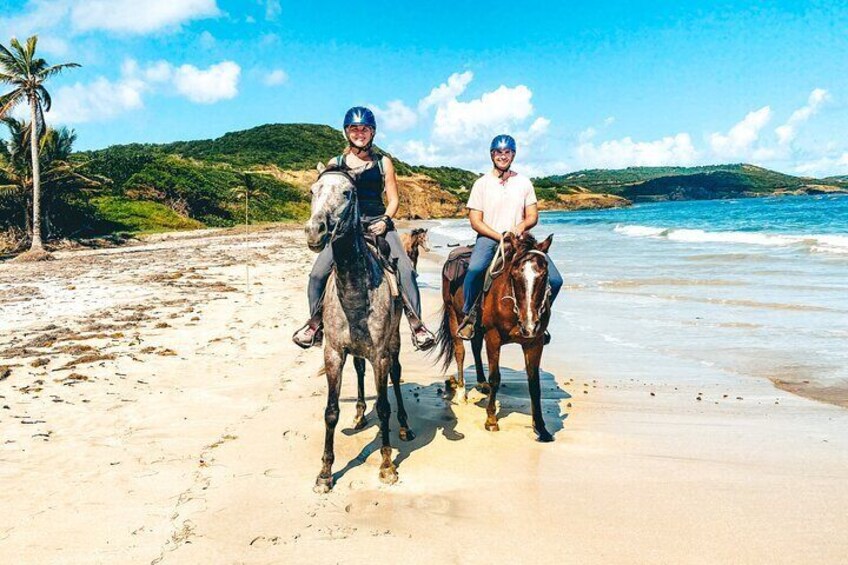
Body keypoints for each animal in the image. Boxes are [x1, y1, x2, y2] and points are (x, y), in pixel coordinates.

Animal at [304, 162, 414, 490]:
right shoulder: (333, 353)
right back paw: (360, 414)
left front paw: (387, 466)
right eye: (312, 191)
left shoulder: (380, 353)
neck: (354, 287)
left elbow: (385, 406)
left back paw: (405, 426)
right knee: (360, 369)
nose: (315, 231)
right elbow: (330, 411)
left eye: (347, 193)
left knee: (396, 376)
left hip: (394, 342)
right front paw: (325, 473)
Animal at [438, 232, 556, 440]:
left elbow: (534, 383)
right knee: (460, 352)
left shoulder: (535, 341)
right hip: (453, 314)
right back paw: (461, 393)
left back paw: (481, 382)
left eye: (543, 275)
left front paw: (541, 428)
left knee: (476, 346)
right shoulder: (493, 337)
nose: (529, 325)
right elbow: (495, 377)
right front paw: (491, 420)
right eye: (515, 274)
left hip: (478, 328)